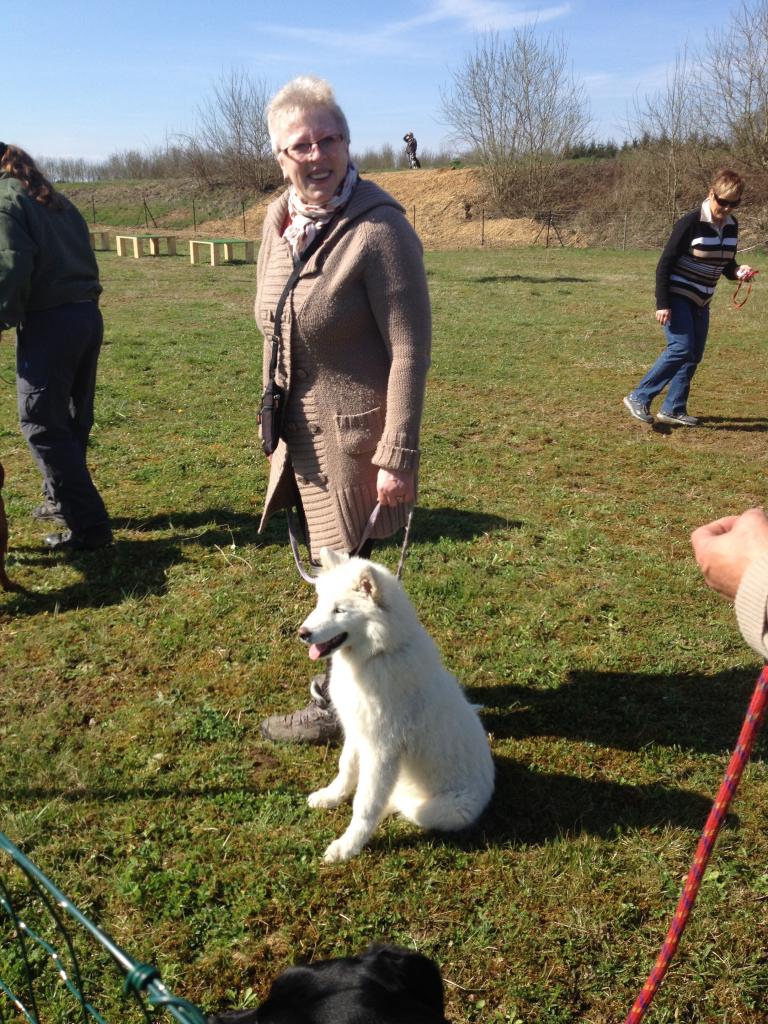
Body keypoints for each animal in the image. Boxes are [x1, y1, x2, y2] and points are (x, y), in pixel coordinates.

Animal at [296, 548, 495, 860]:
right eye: (321, 604)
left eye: (339, 610)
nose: (302, 633)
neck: (376, 656)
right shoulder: (356, 731)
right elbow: (345, 768)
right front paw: (331, 796)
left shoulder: (382, 749)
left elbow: (365, 805)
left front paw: (346, 847)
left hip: (442, 809)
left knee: (399, 804)